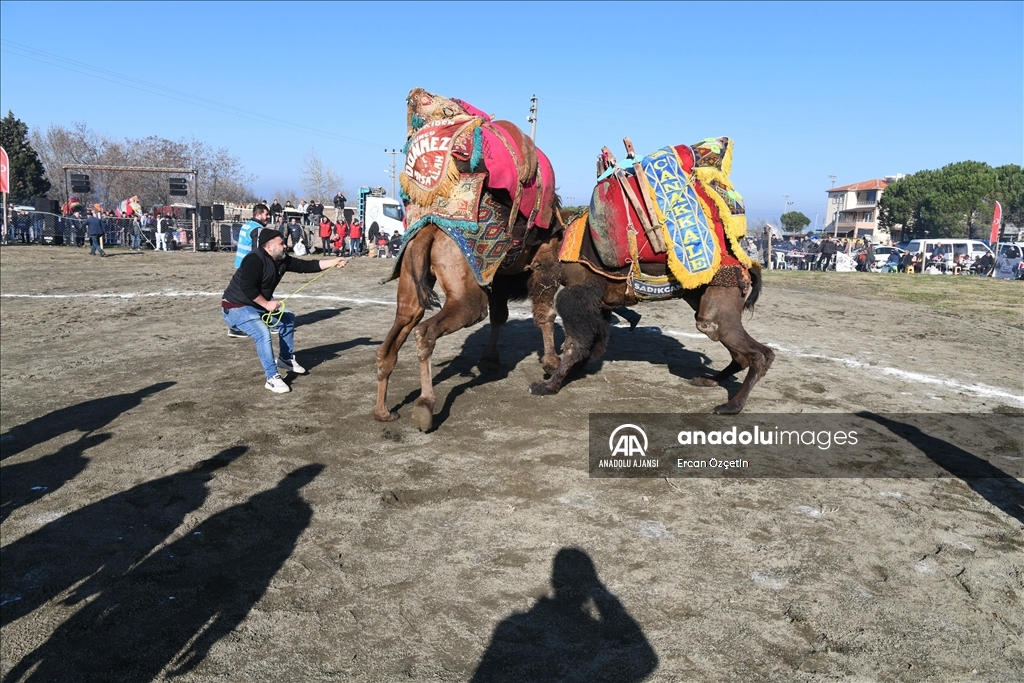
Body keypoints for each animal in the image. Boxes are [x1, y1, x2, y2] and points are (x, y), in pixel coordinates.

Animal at [532, 259, 770, 413]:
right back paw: (708, 381)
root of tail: (747, 267)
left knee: (759, 354)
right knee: (746, 354)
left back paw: (731, 406)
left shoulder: (579, 297)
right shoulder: (598, 306)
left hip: (719, 312)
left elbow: (575, 345)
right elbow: (589, 344)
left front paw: (547, 385)